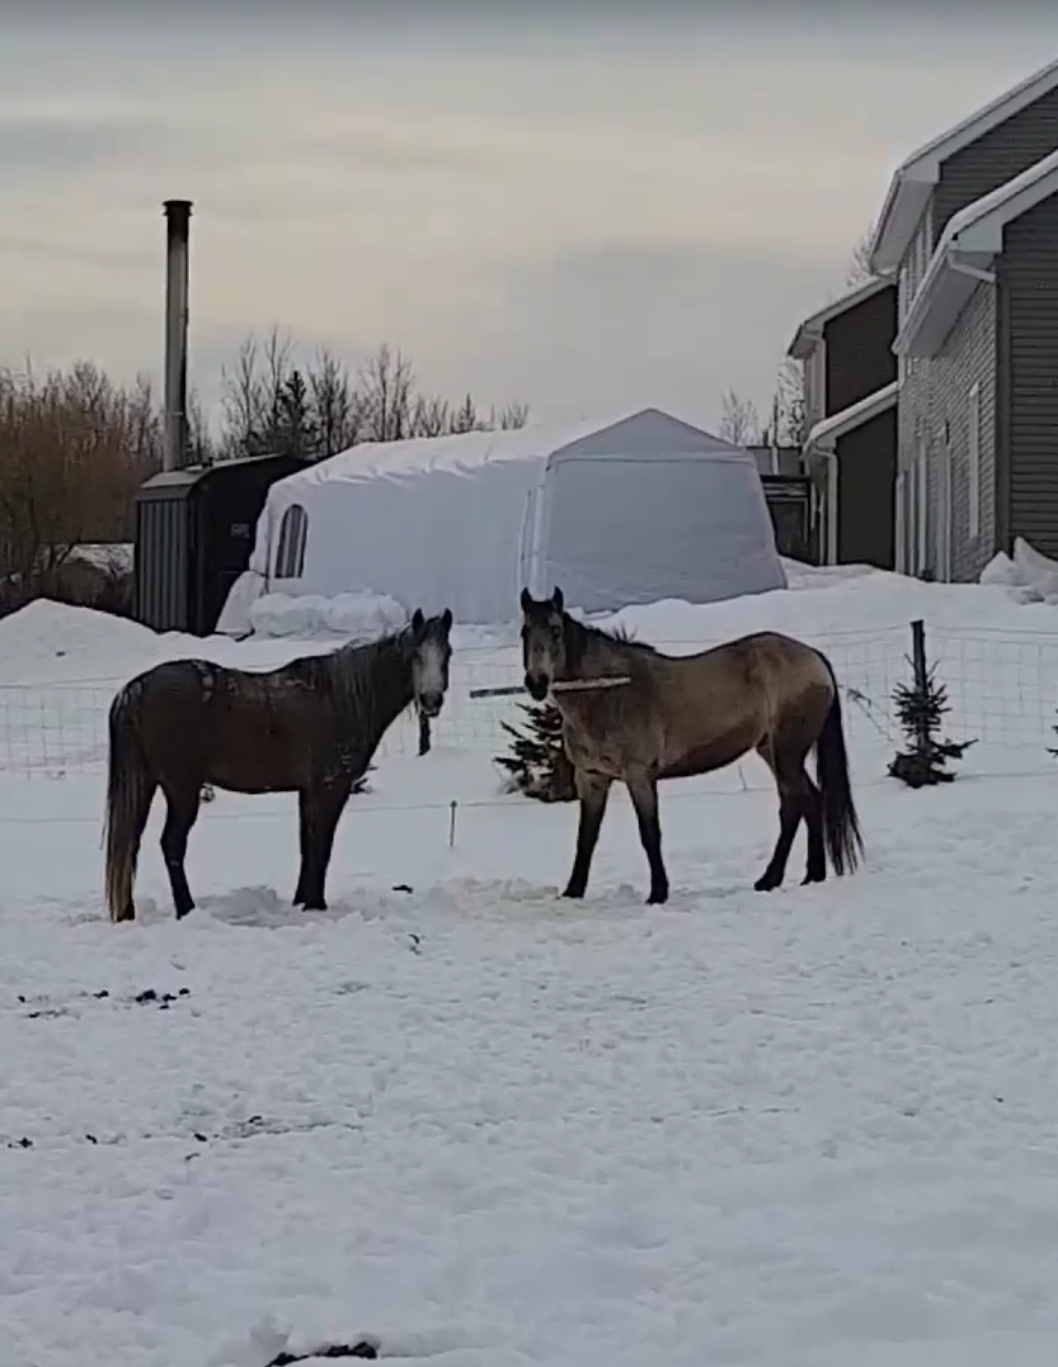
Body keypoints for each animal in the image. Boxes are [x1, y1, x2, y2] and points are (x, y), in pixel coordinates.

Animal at [103, 612, 456, 924]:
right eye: (415, 655)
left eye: (447, 653)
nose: (431, 701)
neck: (340, 699)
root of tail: (133, 690)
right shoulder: (331, 787)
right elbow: (321, 845)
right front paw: (315, 905)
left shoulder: (309, 791)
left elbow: (308, 844)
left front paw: (303, 901)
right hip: (182, 788)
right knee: (172, 845)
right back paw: (186, 909)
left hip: (146, 783)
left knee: (132, 843)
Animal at [519, 590, 863, 902]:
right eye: (525, 631)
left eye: (556, 631)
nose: (536, 682)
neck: (608, 692)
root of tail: (813, 657)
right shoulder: (591, 778)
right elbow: (586, 837)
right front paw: (573, 891)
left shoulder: (639, 776)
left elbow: (650, 834)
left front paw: (658, 893)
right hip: (773, 752)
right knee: (809, 802)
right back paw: (807, 875)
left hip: (787, 753)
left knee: (794, 805)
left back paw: (776, 878)